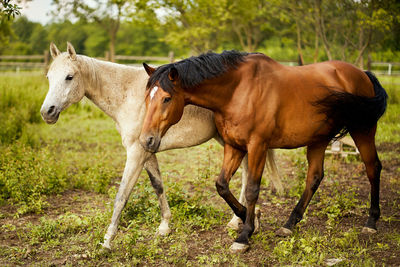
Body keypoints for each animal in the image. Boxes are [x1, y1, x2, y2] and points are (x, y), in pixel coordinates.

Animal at [39, 43, 280, 250]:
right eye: (49, 77)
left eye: (69, 77)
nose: (47, 112)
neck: (128, 95)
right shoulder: (147, 149)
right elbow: (158, 185)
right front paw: (165, 226)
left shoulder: (136, 153)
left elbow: (121, 196)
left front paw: (107, 241)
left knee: (247, 174)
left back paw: (239, 221)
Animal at [138, 51, 388, 253]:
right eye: (146, 98)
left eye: (167, 98)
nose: (146, 140)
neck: (238, 90)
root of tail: (363, 74)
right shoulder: (234, 146)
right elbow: (222, 185)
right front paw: (249, 219)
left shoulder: (257, 146)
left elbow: (251, 190)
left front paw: (244, 235)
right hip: (319, 139)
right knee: (314, 177)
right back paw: (289, 224)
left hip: (362, 130)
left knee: (372, 168)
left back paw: (371, 222)